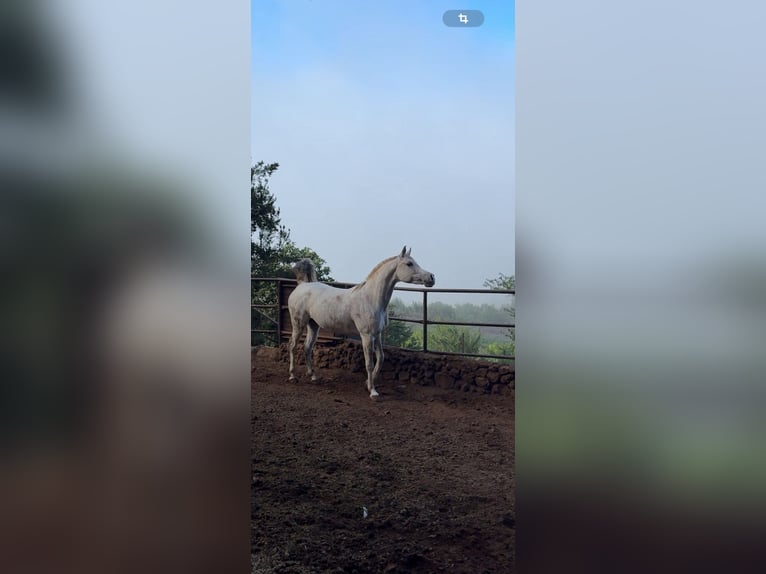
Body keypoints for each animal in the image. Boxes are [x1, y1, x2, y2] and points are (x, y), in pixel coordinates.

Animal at [287, 246, 435, 399]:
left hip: (313, 325)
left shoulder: (377, 335)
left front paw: (368, 384)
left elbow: (381, 358)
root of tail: (302, 285)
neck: (371, 298)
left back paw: (313, 376)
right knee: (292, 345)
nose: (431, 278)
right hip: (298, 324)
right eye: (409, 264)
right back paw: (292, 376)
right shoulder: (367, 336)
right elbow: (369, 363)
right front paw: (373, 392)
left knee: (307, 347)